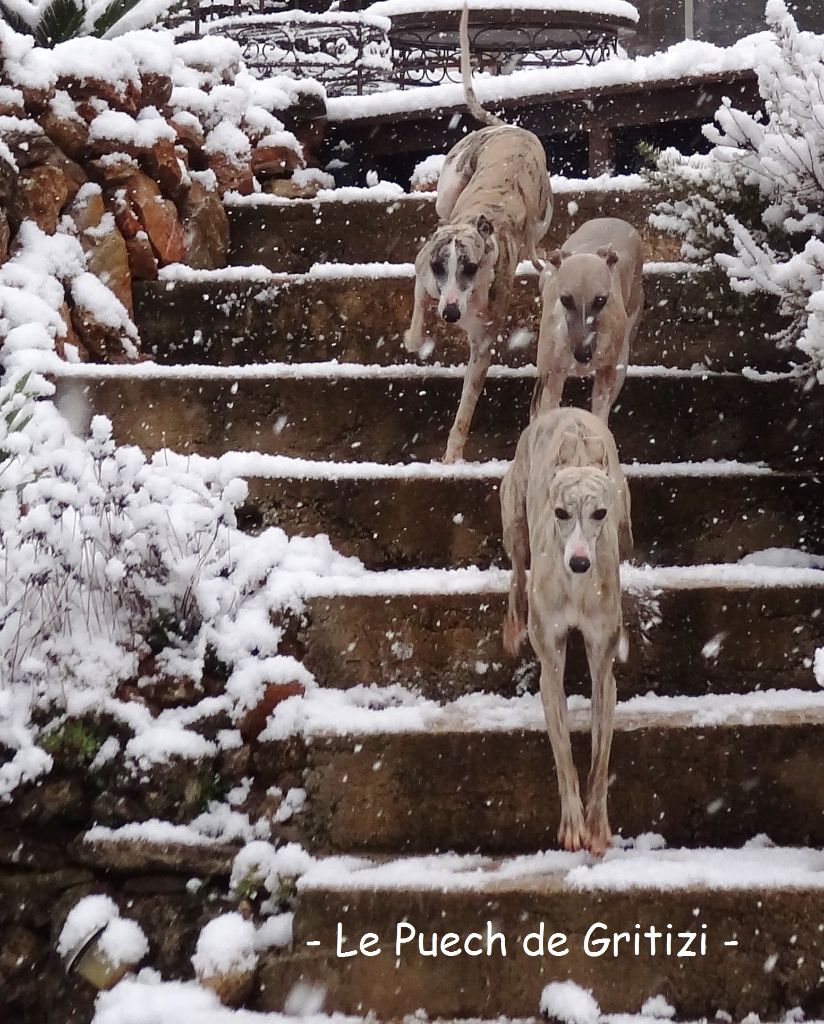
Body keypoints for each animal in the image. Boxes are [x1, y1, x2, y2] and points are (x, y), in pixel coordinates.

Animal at [405, 6, 552, 464]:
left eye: (470, 267)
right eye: (441, 267)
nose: (451, 315)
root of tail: (508, 128)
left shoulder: (483, 345)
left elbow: (466, 408)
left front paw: (451, 459)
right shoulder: (424, 272)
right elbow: (418, 310)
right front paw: (415, 338)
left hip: (543, 209)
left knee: (536, 237)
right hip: (448, 188)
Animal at [497, 407, 634, 856]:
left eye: (598, 513)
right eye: (561, 513)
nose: (578, 562)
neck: (576, 588)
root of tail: (566, 411)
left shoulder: (602, 669)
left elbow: (599, 758)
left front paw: (597, 826)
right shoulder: (550, 667)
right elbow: (564, 755)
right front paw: (573, 824)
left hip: (627, 525)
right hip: (514, 520)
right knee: (516, 569)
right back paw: (513, 625)